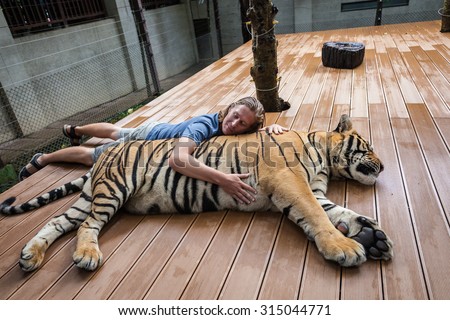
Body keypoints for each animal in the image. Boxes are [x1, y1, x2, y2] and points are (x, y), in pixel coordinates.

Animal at [0, 114, 394, 272]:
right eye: (369, 147)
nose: (384, 166)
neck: (324, 156)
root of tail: (103, 158)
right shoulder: (290, 181)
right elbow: (317, 215)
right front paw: (346, 248)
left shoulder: (310, 187)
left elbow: (337, 211)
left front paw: (372, 235)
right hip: (113, 189)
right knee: (85, 227)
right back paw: (86, 256)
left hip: (90, 198)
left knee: (57, 221)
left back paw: (30, 257)